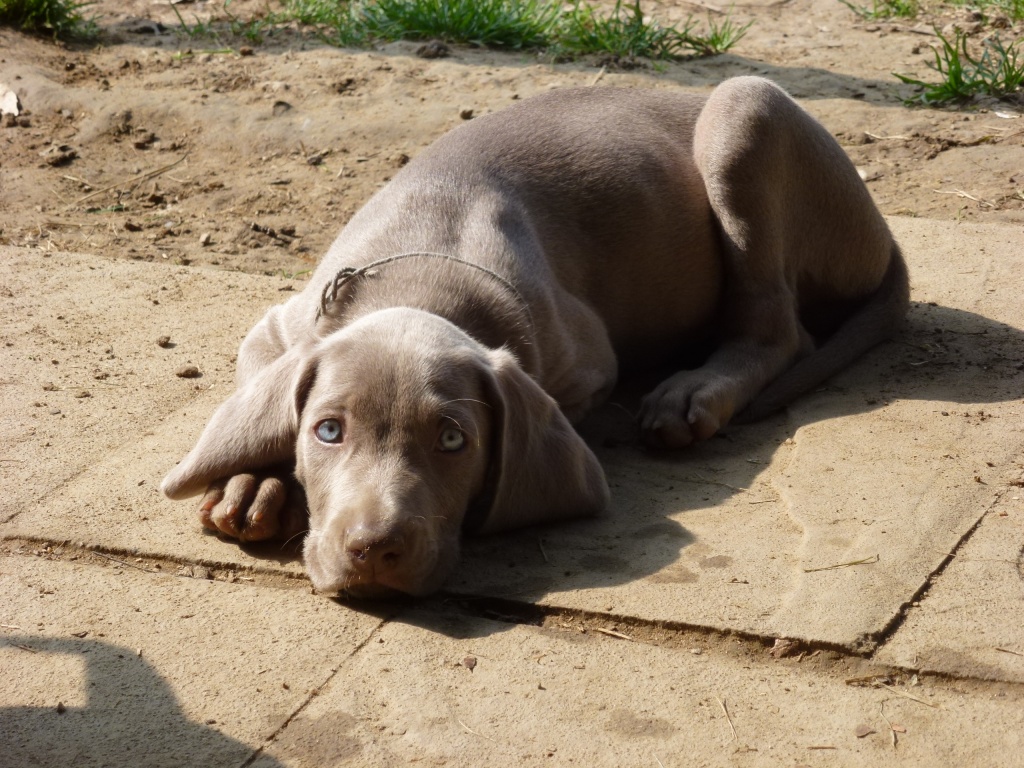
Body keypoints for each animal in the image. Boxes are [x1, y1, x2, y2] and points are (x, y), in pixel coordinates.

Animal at [155, 81, 909, 606]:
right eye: (329, 431)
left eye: (454, 440)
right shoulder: (280, 326)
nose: (374, 550)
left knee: (781, 330)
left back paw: (693, 392)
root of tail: (882, 230)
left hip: (744, 113)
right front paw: (254, 482)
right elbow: (263, 399)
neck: (426, 275)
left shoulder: (587, 365)